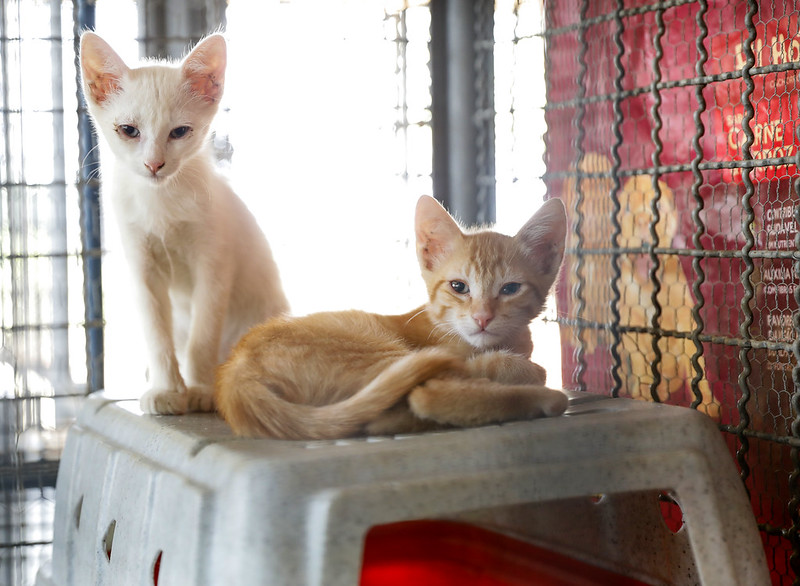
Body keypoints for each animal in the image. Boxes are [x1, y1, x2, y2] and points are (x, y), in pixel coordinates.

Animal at [80, 32, 288, 412]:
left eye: (179, 132)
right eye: (128, 130)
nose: (154, 165)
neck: (162, 202)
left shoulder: (214, 265)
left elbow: (202, 335)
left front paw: (200, 388)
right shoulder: (142, 267)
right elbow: (156, 333)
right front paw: (166, 389)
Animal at [212, 196, 568, 438]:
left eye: (510, 289)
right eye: (458, 287)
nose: (482, 318)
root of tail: (234, 375)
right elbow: (522, 367)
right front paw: (513, 367)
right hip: (377, 350)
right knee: (426, 396)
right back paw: (547, 398)